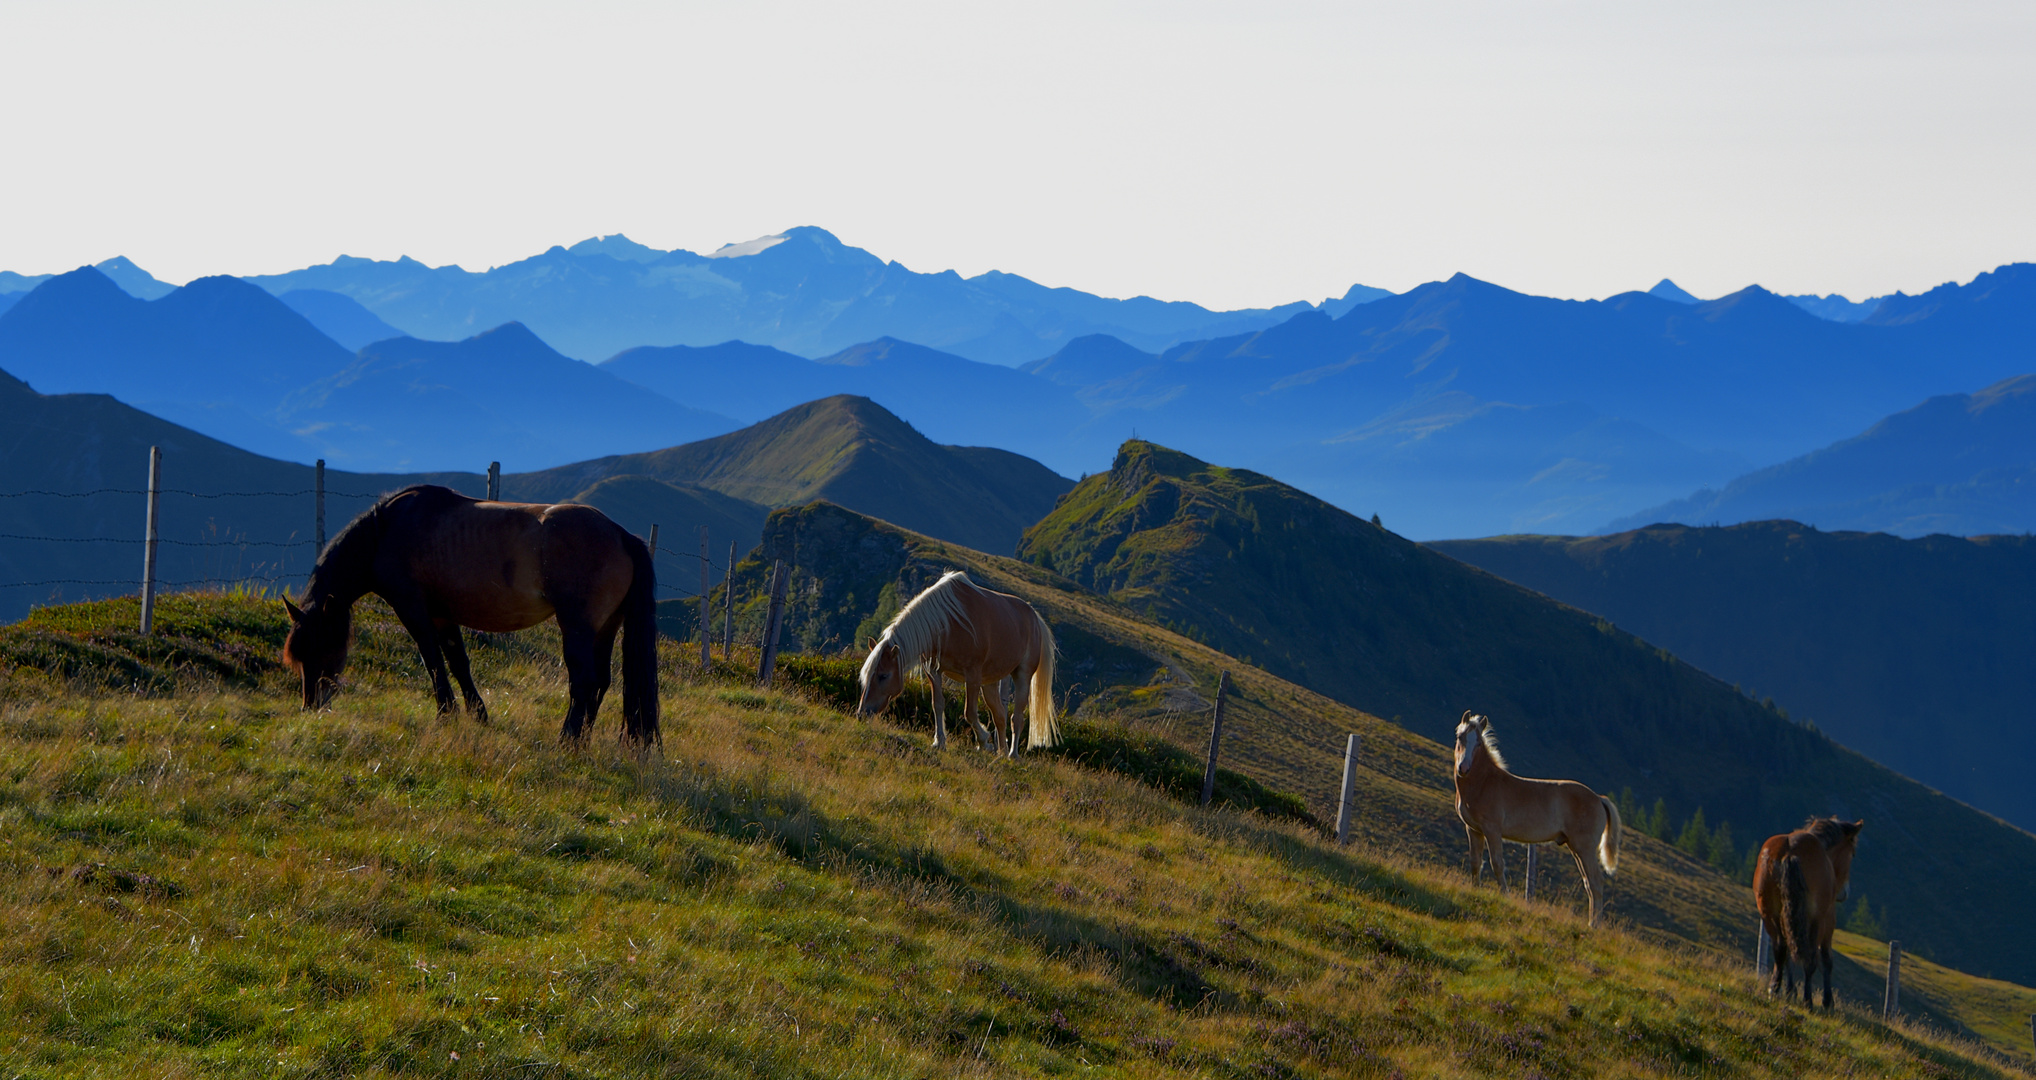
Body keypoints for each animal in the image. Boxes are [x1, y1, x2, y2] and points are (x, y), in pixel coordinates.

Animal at [276, 484, 659, 741]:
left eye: (323, 648)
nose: (311, 705)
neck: (384, 531)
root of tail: (621, 534)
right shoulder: (442, 614)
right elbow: (458, 662)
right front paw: (478, 716)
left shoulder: (412, 608)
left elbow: (432, 660)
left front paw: (445, 715)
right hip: (605, 628)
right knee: (602, 682)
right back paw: (582, 740)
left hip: (577, 626)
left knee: (584, 680)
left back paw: (567, 739)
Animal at [851, 566, 1058, 753]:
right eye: (866, 675)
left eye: (883, 676)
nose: (862, 713)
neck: (947, 624)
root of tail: (1034, 617)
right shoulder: (934, 671)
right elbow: (938, 705)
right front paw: (939, 742)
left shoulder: (972, 675)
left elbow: (969, 712)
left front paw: (984, 741)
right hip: (990, 682)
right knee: (999, 715)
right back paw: (1001, 752)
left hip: (1022, 675)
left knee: (1017, 718)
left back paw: (1012, 755)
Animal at [1449, 713, 1620, 925]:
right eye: (1460, 737)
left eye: (1479, 743)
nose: (1463, 768)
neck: (1483, 783)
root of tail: (1598, 798)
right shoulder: (1473, 830)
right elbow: (1475, 862)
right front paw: (1475, 890)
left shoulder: (1492, 830)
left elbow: (1497, 863)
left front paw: (1505, 896)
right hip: (1576, 848)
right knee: (1589, 883)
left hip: (1585, 848)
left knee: (1596, 882)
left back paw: (1594, 925)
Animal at [1750, 815, 1864, 998]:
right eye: (1852, 854)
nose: (1844, 892)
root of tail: (1789, 852)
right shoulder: (1827, 918)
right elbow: (1825, 959)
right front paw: (1827, 1000)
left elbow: (1789, 954)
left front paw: (1789, 990)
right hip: (1814, 919)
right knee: (1810, 959)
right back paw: (1807, 1000)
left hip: (1769, 913)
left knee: (1781, 948)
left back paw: (1774, 988)